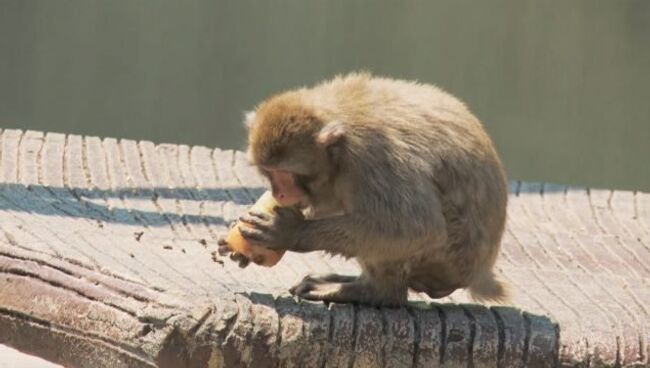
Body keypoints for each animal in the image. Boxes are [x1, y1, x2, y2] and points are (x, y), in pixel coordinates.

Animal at [218, 72, 506, 308]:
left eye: (288, 174)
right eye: (269, 172)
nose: (280, 195)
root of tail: (479, 274)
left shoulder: (371, 158)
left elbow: (418, 227)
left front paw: (290, 232)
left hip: (446, 261)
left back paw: (374, 291)